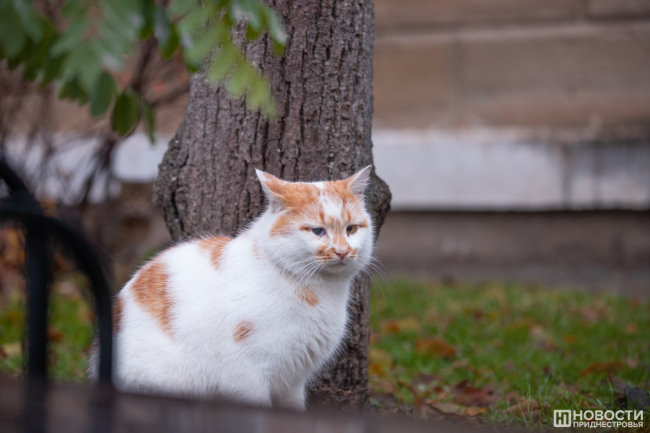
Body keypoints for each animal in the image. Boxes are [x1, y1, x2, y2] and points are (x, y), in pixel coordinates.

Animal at [88, 166, 374, 410]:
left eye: (351, 229)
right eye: (317, 231)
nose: (342, 251)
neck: (319, 290)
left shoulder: (292, 382)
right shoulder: (246, 376)